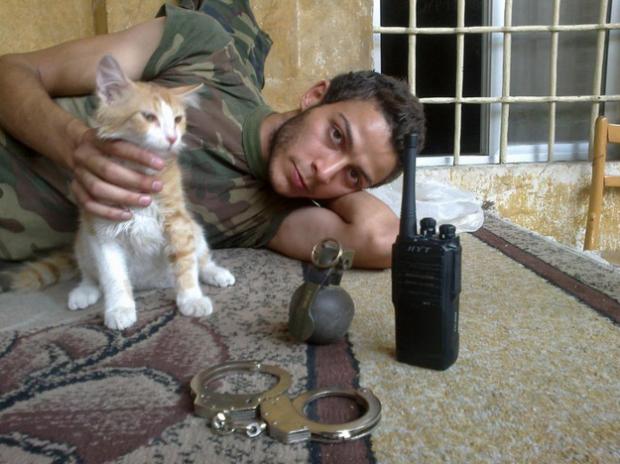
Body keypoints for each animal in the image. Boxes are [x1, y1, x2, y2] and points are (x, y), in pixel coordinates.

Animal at [64, 54, 235, 330]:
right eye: (148, 117)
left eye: (177, 120)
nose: (172, 137)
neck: (140, 173)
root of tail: (150, 284)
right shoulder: (102, 231)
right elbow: (113, 276)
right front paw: (120, 308)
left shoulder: (179, 221)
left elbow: (186, 263)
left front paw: (191, 299)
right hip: (83, 242)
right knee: (90, 275)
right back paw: (84, 291)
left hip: (195, 229)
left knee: (201, 258)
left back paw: (216, 273)